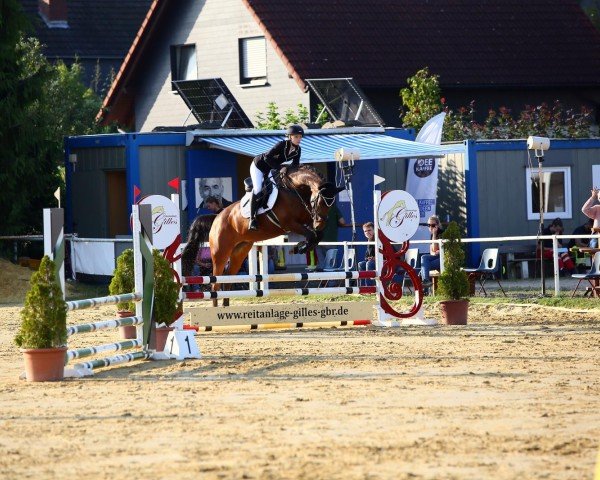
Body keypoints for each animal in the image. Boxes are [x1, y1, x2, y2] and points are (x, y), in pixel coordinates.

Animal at [182, 165, 342, 306]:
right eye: (318, 201)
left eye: (330, 204)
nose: (319, 223)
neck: (294, 190)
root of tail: (217, 218)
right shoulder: (290, 224)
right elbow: (311, 234)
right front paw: (301, 247)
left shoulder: (307, 219)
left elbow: (316, 236)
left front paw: (302, 246)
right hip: (220, 252)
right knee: (215, 284)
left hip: (240, 251)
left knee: (227, 281)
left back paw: (226, 308)